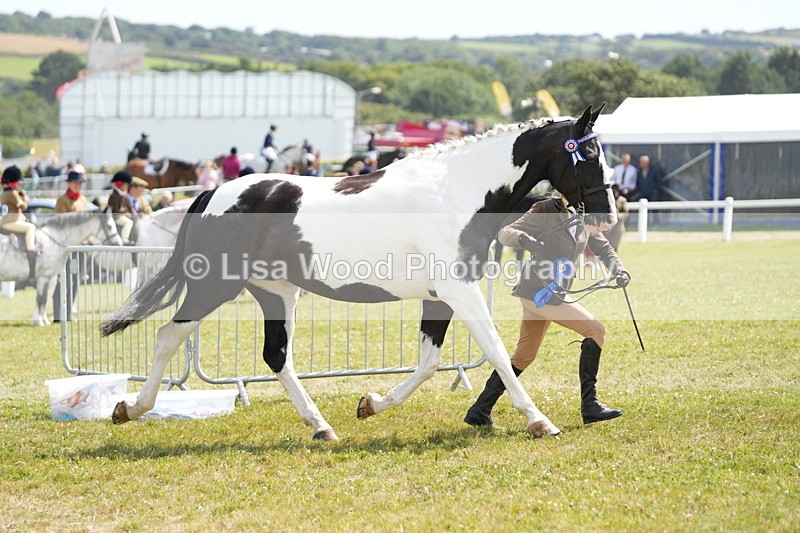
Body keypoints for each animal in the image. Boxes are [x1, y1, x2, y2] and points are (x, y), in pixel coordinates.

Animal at [101, 104, 615, 440]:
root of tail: (214, 194)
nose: (607, 215)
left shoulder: (441, 296)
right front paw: (540, 421)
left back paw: (321, 427)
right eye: (588, 155)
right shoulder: (460, 291)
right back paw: (131, 407)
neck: (456, 194)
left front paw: (371, 404)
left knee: (276, 356)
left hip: (276, 292)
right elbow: (496, 352)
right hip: (215, 286)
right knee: (168, 336)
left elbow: (430, 362)